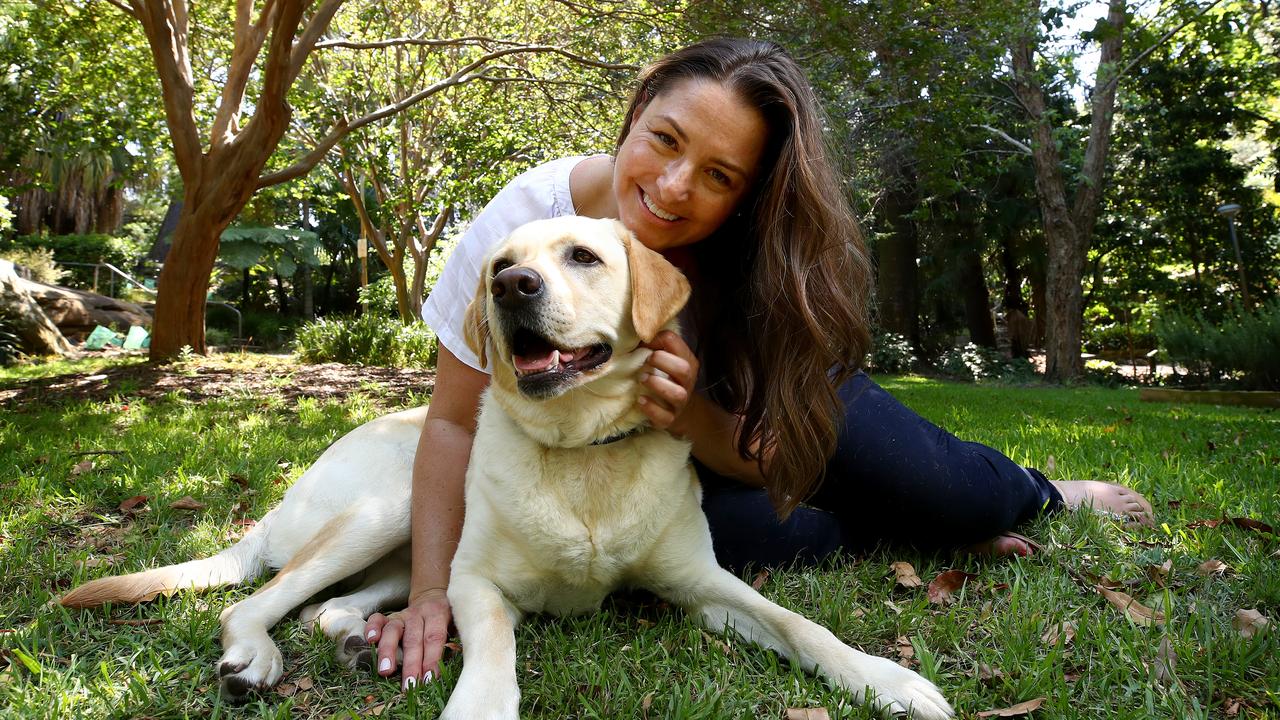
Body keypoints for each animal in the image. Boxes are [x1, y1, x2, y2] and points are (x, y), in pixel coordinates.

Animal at [62, 215, 952, 712]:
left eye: (584, 257)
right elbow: (493, 653)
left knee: (327, 607)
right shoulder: (475, 584)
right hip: (389, 508)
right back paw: (257, 656)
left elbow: (803, 624)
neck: (583, 456)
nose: (512, 285)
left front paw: (888, 681)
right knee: (258, 600)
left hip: (399, 549)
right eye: (498, 265)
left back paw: (358, 636)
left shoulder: (703, 584)